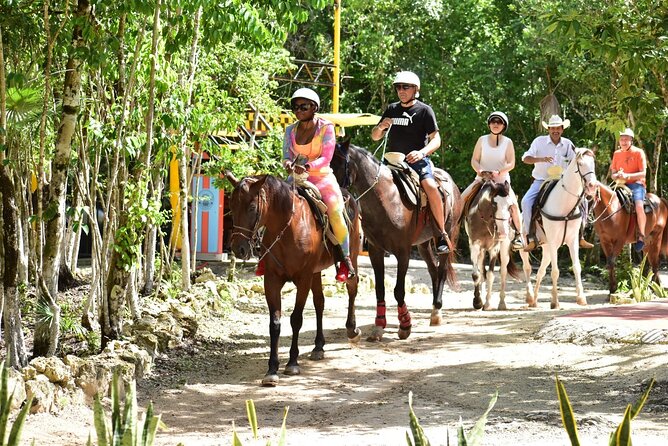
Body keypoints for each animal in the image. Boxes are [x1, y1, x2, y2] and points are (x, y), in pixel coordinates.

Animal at [224, 172, 360, 386]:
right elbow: (275, 324)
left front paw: (293, 362)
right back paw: (318, 347)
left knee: (352, 289)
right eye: (231, 205)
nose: (239, 248)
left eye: (252, 207)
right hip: (315, 273)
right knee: (320, 303)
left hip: (351, 256)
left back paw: (352, 329)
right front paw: (272, 369)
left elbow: (296, 319)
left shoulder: (303, 278)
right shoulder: (272, 280)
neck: (288, 228)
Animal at [332, 140, 462, 342]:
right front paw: (379, 326)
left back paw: (436, 313)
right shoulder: (376, 251)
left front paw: (405, 326)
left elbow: (398, 290)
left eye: (338, 165)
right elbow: (380, 288)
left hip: (445, 235)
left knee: (441, 271)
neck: (386, 198)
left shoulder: (403, 252)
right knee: (433, 270)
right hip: (423, 244)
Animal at [528, 148, 600, 308]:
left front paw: (581, 298)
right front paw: (555, 302)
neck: (565, 206)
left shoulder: (572, 241)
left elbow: (577, 267)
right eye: (580, 163)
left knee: (540, 271)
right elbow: (555, 271)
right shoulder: (554, 241)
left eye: (593, 163)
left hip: (547, 248)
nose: (592, 186)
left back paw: (534, 300)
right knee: (526, 267)